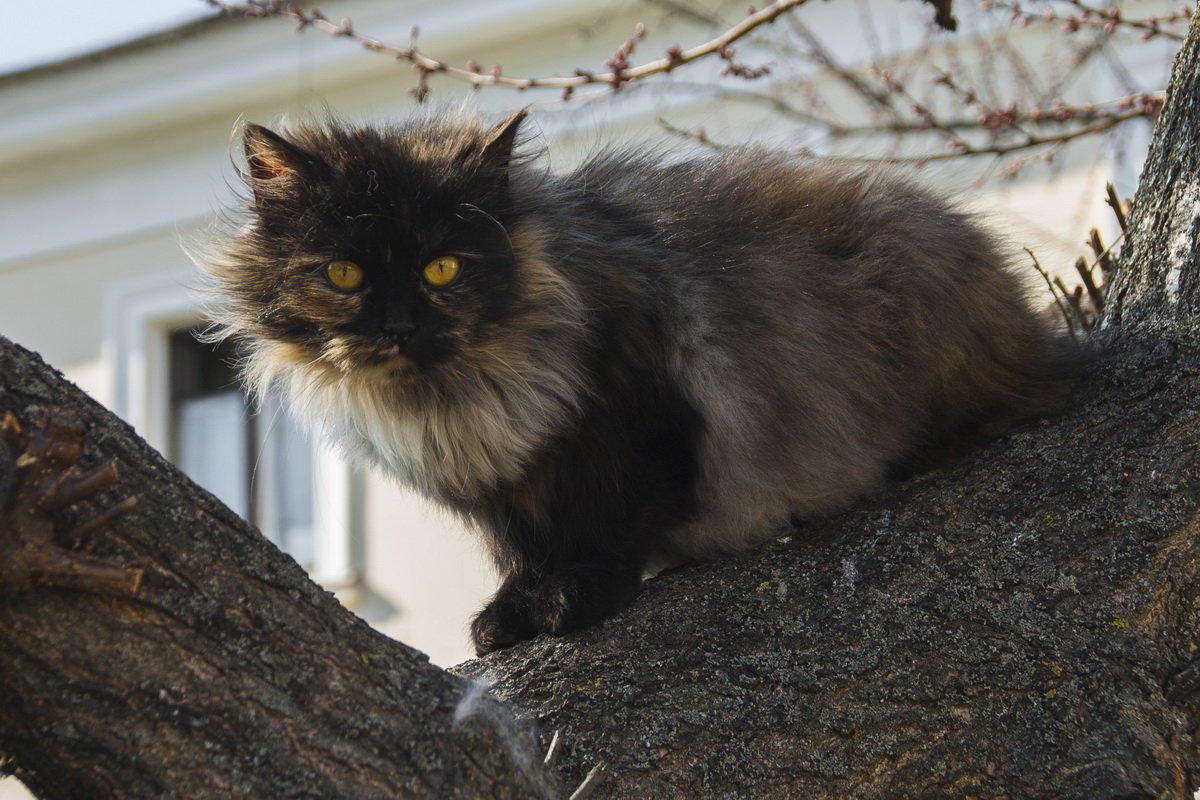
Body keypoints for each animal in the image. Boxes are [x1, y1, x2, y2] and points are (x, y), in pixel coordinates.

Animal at [196, 109, 1080, 652]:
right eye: (343, 274)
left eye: (443, 268)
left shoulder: (638, 412)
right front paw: (510, 612)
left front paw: (571, 599)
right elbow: (523, 548)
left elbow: (611, 519)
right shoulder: (507, 492)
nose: (399, 327)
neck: (462, 399)